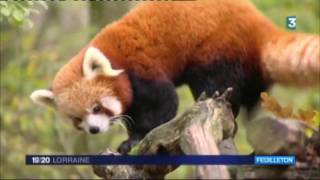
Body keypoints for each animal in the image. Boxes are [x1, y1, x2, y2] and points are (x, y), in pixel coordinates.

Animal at [28, 0, 318, 153]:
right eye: (77, 119)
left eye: (97, 107)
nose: (94, 129)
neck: (112, 52)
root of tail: (258, 25)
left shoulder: (142, 68)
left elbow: (163, 103)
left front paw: (134, 139)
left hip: (217, 49)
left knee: (215, 81)